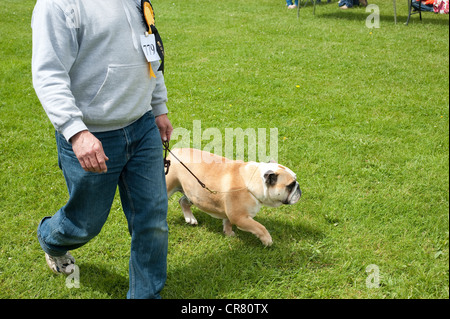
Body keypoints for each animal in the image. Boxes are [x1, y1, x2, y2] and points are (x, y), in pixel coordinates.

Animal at [166, 149, 302, 246]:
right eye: (290, 185)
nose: (299, 187)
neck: (253, 181)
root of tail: (175, 151)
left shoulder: (231, 213)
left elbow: (227, 221)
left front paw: (228, 233)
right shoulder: (240, 218)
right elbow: (260, 227)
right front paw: (267, 240)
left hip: (194, 194)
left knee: (183, 201)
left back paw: (190, 218)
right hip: (170, 185)